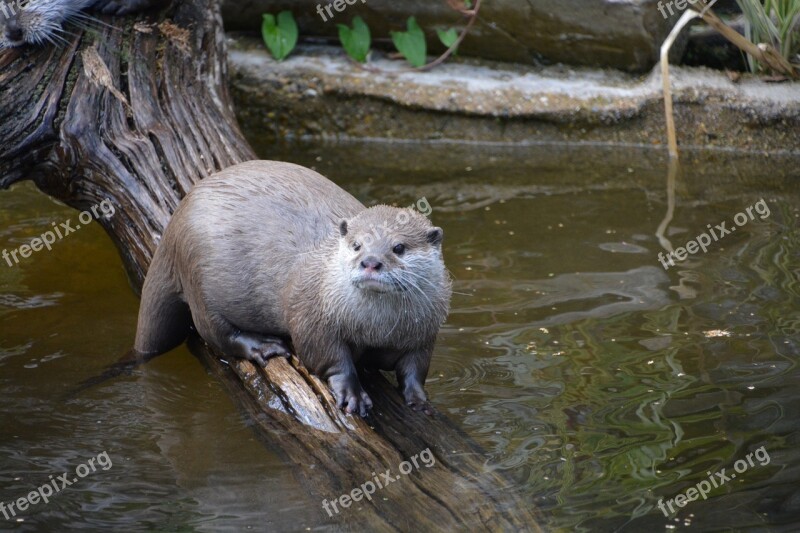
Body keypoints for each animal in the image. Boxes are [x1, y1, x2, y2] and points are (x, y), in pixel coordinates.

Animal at [134, 160, 454, 414]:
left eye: (398, 247)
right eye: (357, 245)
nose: (371, 262)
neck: (377, 329)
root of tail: (173, 226)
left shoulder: (424, 332)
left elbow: (415, 368)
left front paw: (420, 398)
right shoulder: (312, 317)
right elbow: (328, 356)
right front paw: (352, 393)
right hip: (197, 276)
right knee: (216, 334)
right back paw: (263, 346)